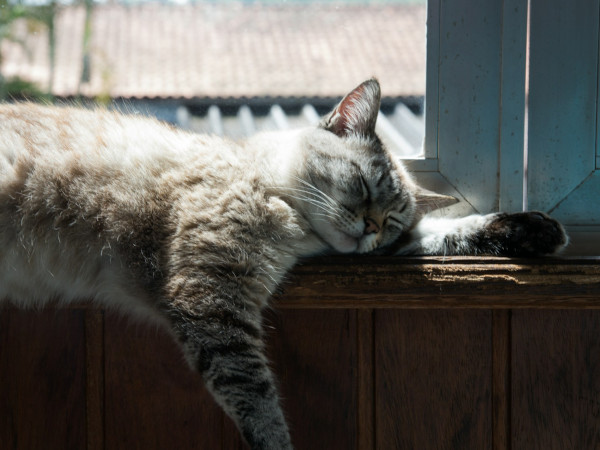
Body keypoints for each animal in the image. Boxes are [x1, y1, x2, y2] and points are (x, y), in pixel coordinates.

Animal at [0, 79, 568, 448]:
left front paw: (537, 231)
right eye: (364, 188)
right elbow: (257, 399)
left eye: (389, 220)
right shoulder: (211, 293)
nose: (368, 229)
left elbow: (446, 232)